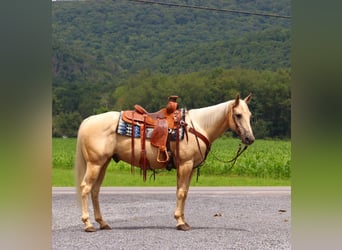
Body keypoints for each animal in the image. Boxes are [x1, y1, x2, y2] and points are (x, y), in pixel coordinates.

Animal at [76, 94, 255, 232]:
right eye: (238, 114)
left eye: (250, 115)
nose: (250, 138)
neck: (197, 126)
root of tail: (88, 120)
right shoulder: (185, 164)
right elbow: (181, 192)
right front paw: (180, 222)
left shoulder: (189, 167)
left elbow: (184, 192)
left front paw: (183, 220)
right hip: (95, 164)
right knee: (85, 188)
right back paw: (88, 224)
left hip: (103, 163)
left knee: (95, 191)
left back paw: (103, 223)